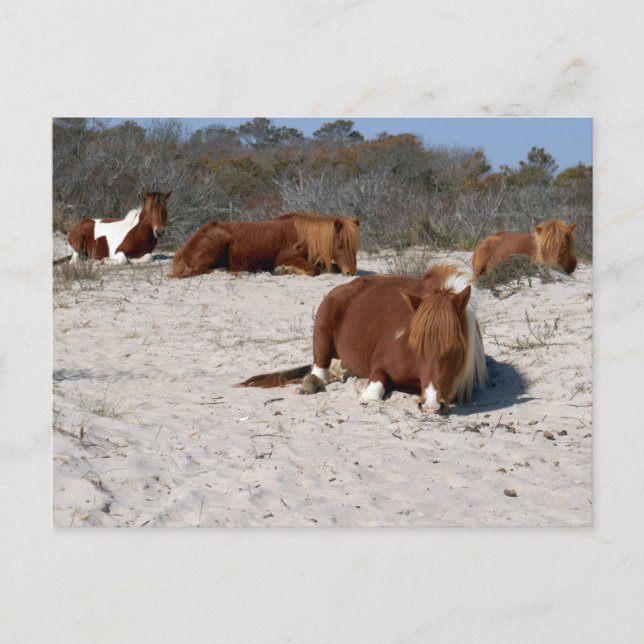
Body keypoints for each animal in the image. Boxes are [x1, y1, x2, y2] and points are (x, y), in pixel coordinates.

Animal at [169, 212, 360, 278]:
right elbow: (314, 270)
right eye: (341, 244)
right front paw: (285, 270)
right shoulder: (287, 257)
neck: (305, 236)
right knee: (199, 271)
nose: (351, 272)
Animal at [237, 263, 486, 414]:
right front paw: (361, 385)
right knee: (320, 372)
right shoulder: (380, 367)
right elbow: (374, 392)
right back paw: (310, 385)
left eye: (456, 348)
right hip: (323, 327)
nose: (432, 405)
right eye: (417, 348)